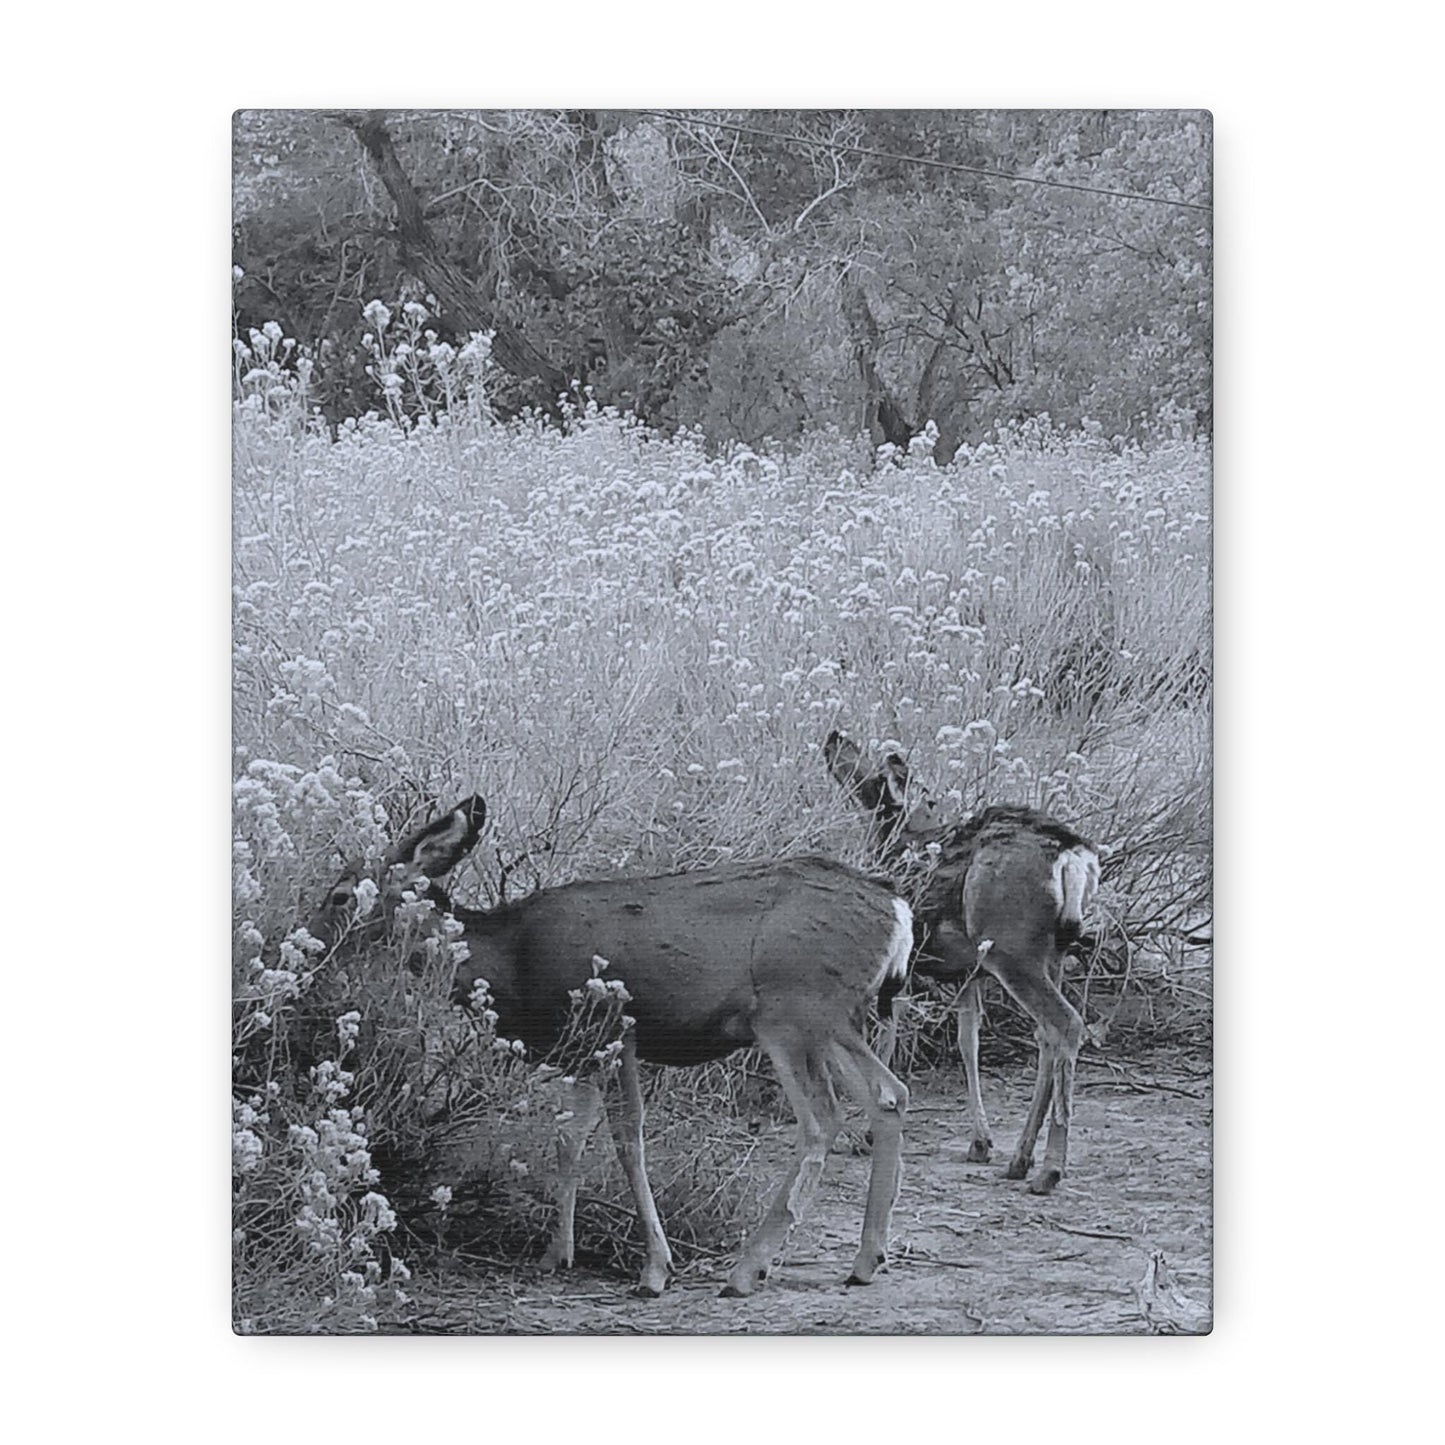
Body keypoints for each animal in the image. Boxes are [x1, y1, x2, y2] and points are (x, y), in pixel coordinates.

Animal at [307, 794, 914, 1299]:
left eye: (339, 895)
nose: (310, 943)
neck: (509, 961)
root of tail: (899, 909)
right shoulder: (584, 1051)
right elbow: (570, 1142)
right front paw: (557, 1253)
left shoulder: (615, 1028)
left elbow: (626, 1141)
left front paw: (655, 1269)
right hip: (832, 1019)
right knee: (888, 1095)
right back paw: (866, 1261)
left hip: (791, 1009)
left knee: (822, 1119)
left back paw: (747, 1270)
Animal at [823, 730, 1100, 1195]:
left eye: (874, 776)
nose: (835, 736)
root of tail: (1073, 853)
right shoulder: (968, 974)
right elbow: (968, 1042)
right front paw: (980, 1142)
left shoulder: (902, 965)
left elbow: (886, 1038)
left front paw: (866, 1132)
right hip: (1050, 954)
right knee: (1047, 1035)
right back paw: (1020, 1159)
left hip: (1012, 949)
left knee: (1066, 1024)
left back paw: (1049, 1170)